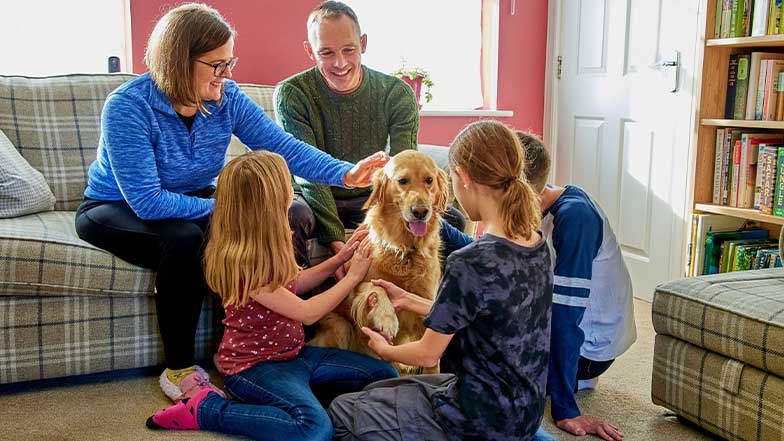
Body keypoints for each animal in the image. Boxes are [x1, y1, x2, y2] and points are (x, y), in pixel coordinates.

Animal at [310, 150, 450, 372]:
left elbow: (431, 357)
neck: (405, 251)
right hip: (340, 327)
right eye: (402, 181)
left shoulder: (427, 301)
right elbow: (377, 287)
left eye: (429, 180)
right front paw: (387, 318)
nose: (421, 211)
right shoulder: (358, 285)